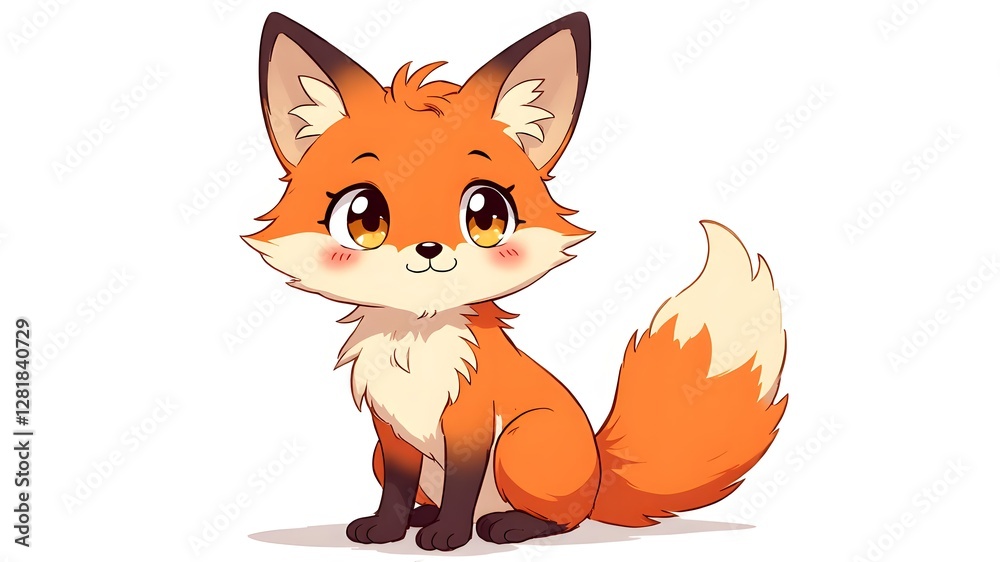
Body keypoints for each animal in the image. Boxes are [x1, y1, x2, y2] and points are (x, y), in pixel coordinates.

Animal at [244, 11, 788, 552]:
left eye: (486, 214)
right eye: (363, 216)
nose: (428, 250)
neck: (416, 344)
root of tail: (598, 475)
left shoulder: (472, 421)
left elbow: (462, 485)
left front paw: (450, 535)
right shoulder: (391, 434)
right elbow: (397, 488)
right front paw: (388, 529)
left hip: (521, 442)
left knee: (563, 519)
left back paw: (507, 526)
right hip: (387, 457)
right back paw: (426, 515)